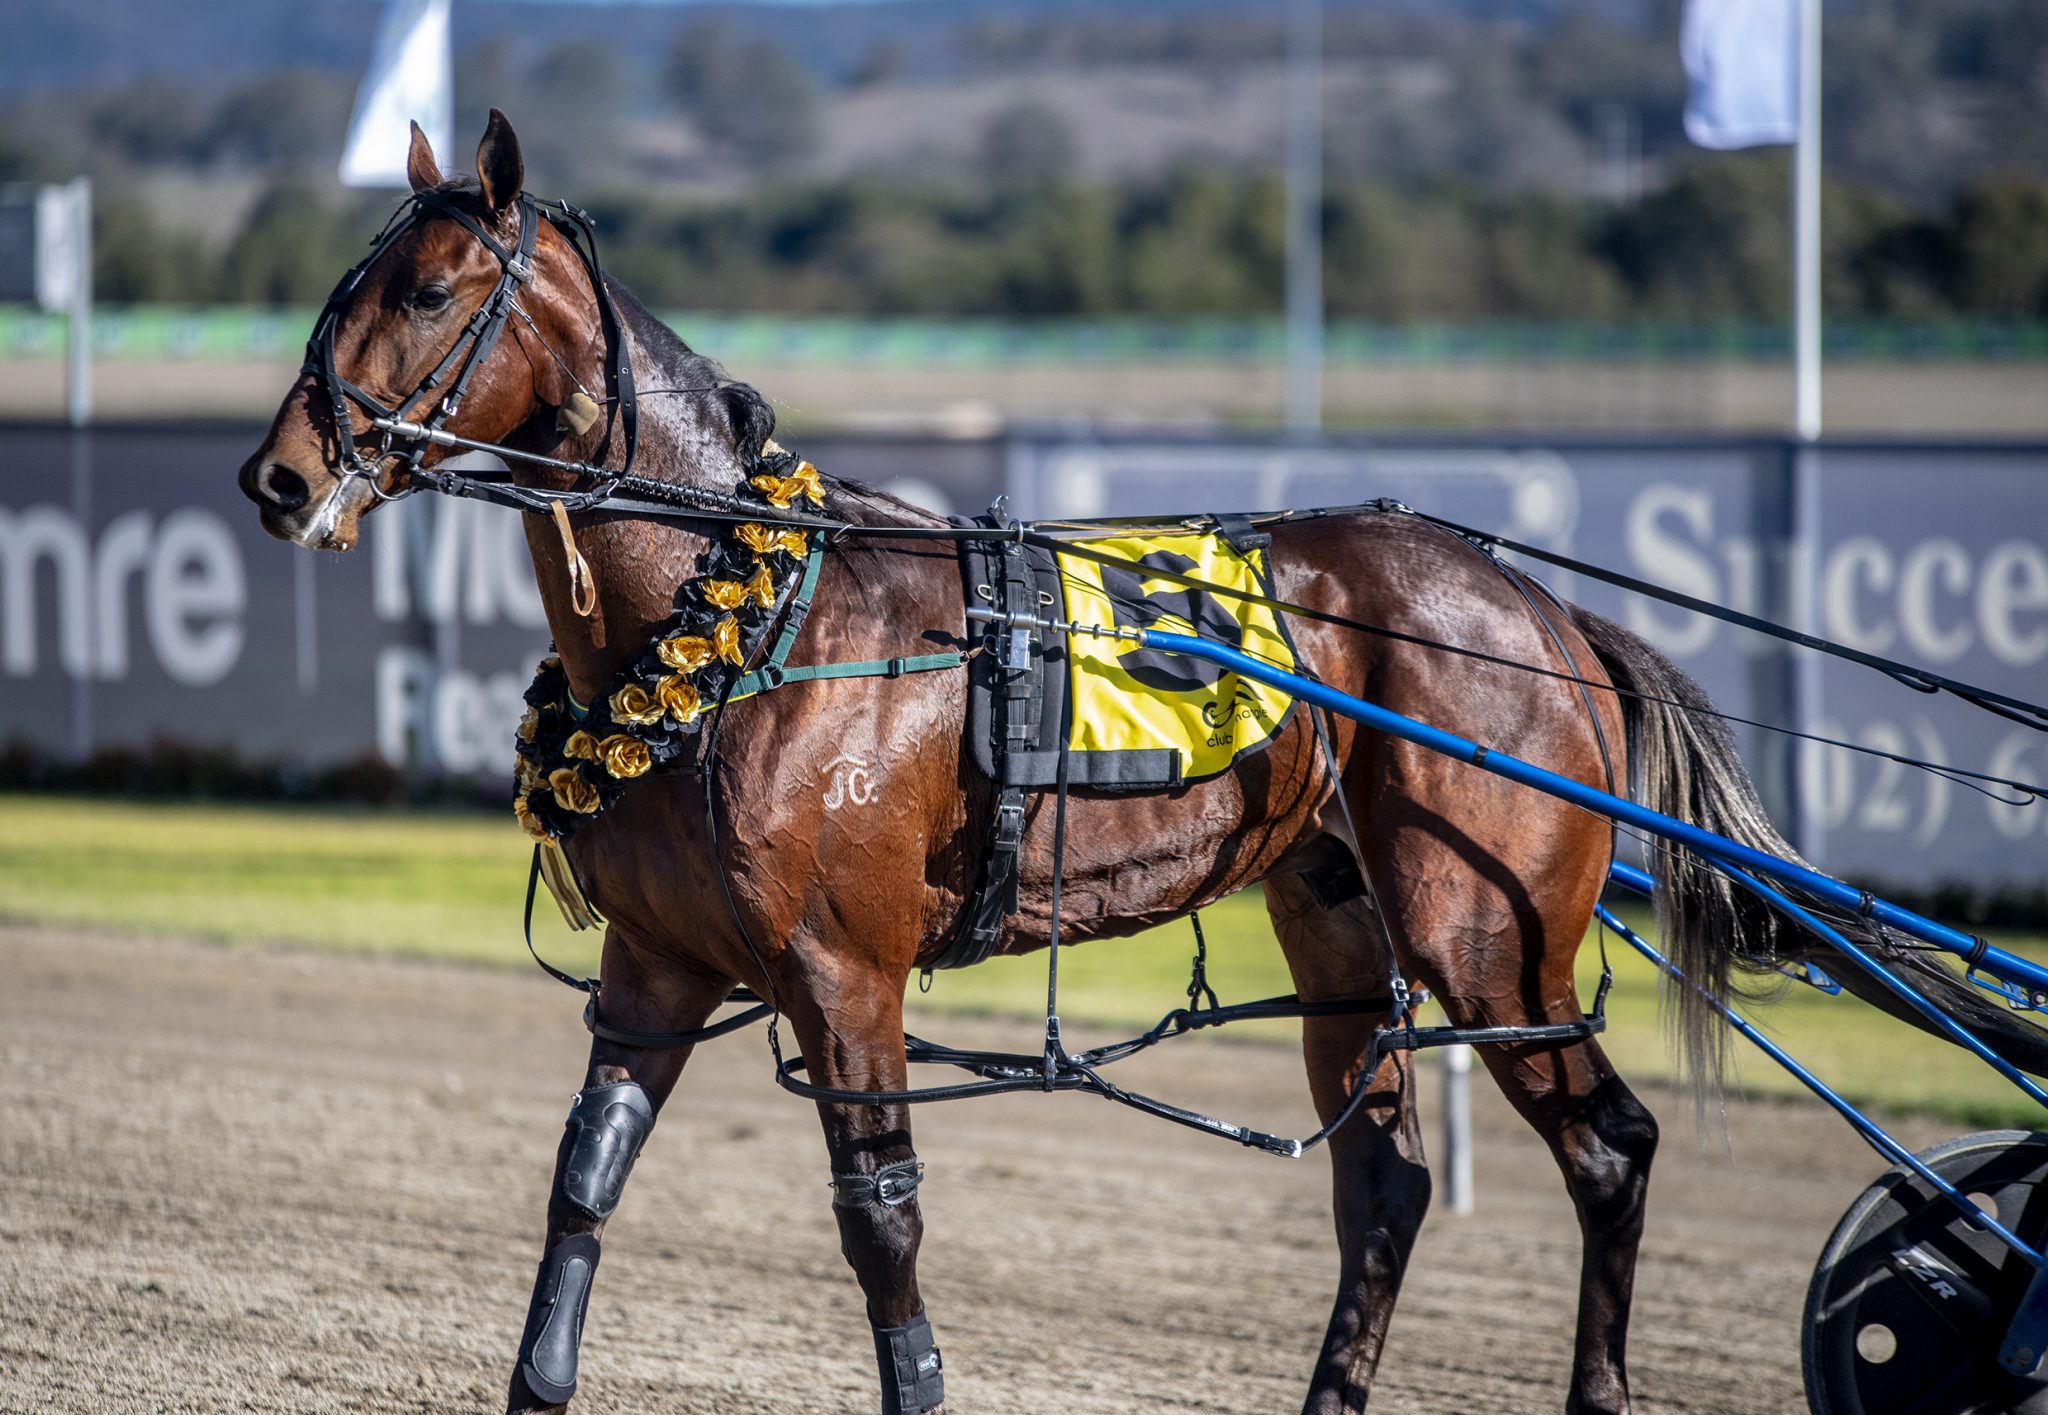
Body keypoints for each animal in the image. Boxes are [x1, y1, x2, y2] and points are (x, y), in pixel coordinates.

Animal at [228, 113, 2015, 1415]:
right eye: (350, 278)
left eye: (431, 288)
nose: (280, 473)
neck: (752, 609)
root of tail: (1539, 606)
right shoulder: (658, 968)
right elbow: (581, 1182)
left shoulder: (846, 970)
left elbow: (882, 1221)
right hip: (1343, 919)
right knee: (1385, 1183)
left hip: (1491, 934)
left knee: (1609, 1150)